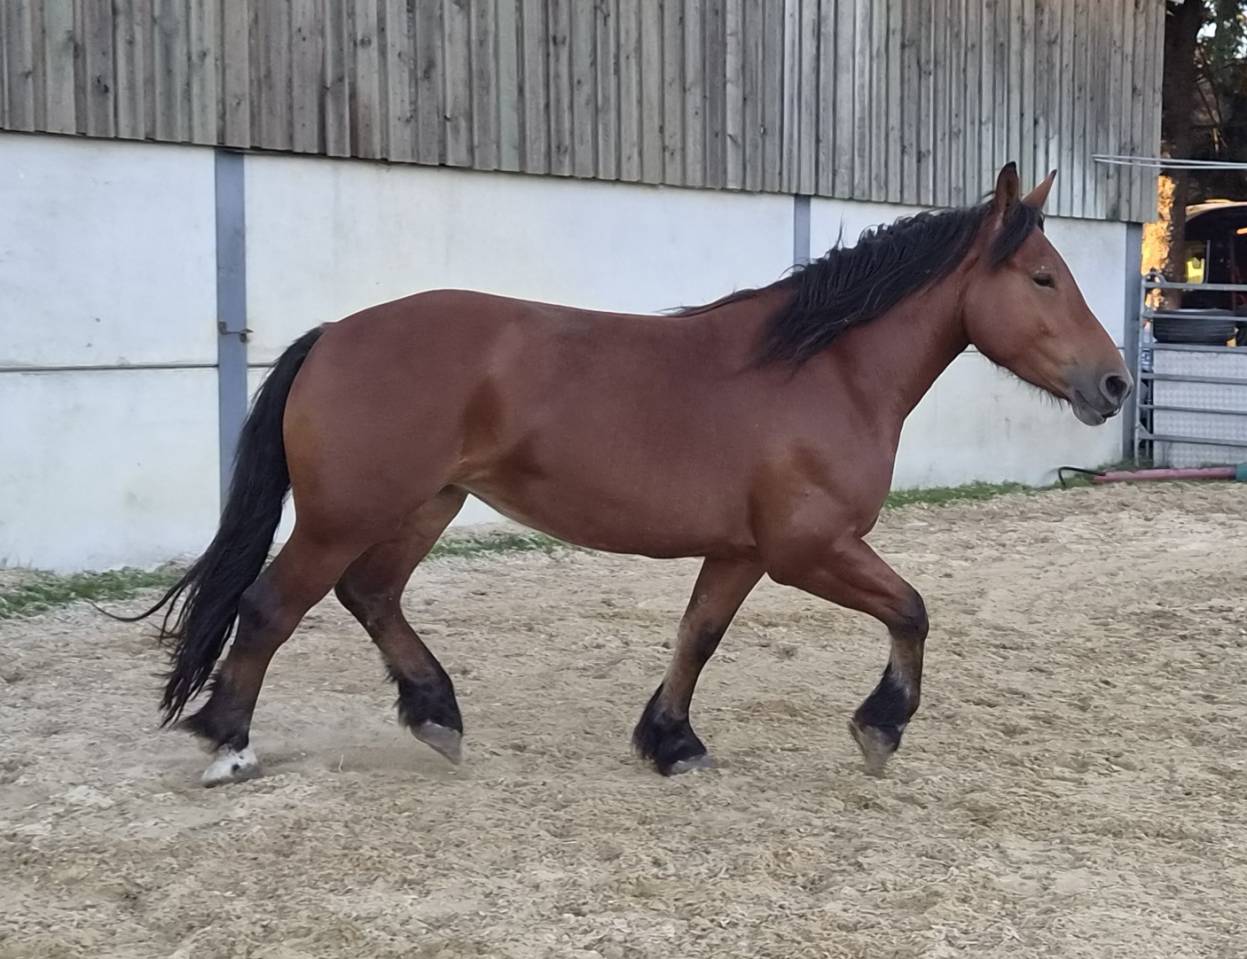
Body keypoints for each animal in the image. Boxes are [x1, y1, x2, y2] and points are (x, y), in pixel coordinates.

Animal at [125, 162, 1130, 787]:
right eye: (1042, 277)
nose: (1114, 383)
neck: (822, 369)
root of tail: (335, 332)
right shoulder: (809, 548)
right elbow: (913, 611)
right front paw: (879, 726)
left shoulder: (741, 552)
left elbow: (696, 638)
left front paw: (671, 742)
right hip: (345, 513)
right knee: (272, 606)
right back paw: (229, 743)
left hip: (426, 504)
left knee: (370, 595)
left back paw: (435, 713)